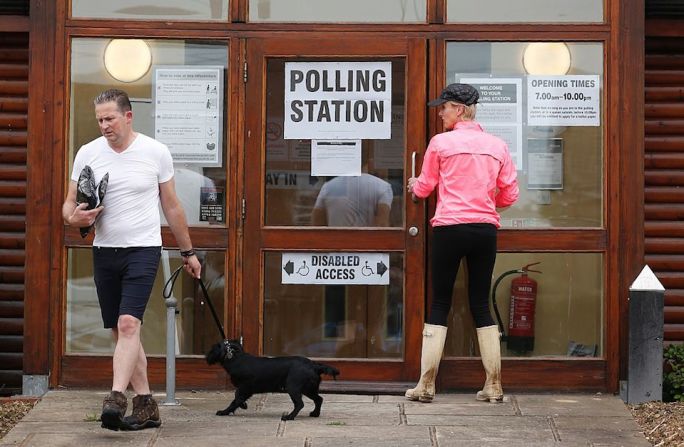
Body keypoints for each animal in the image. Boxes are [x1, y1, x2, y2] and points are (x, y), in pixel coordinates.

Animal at [204, 342, 340, 422]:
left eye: (211, 349)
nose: (206, 357)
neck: (235, 359)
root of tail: (313, 365)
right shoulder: (245, 389)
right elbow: (238, 398)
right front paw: (243, 405)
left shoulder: (245, 387)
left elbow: (236, 398)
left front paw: (224, 411)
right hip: (308, 389)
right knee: (319, 399)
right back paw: (315, 413)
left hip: (293, 387)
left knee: (300, 404)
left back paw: (289, 417)